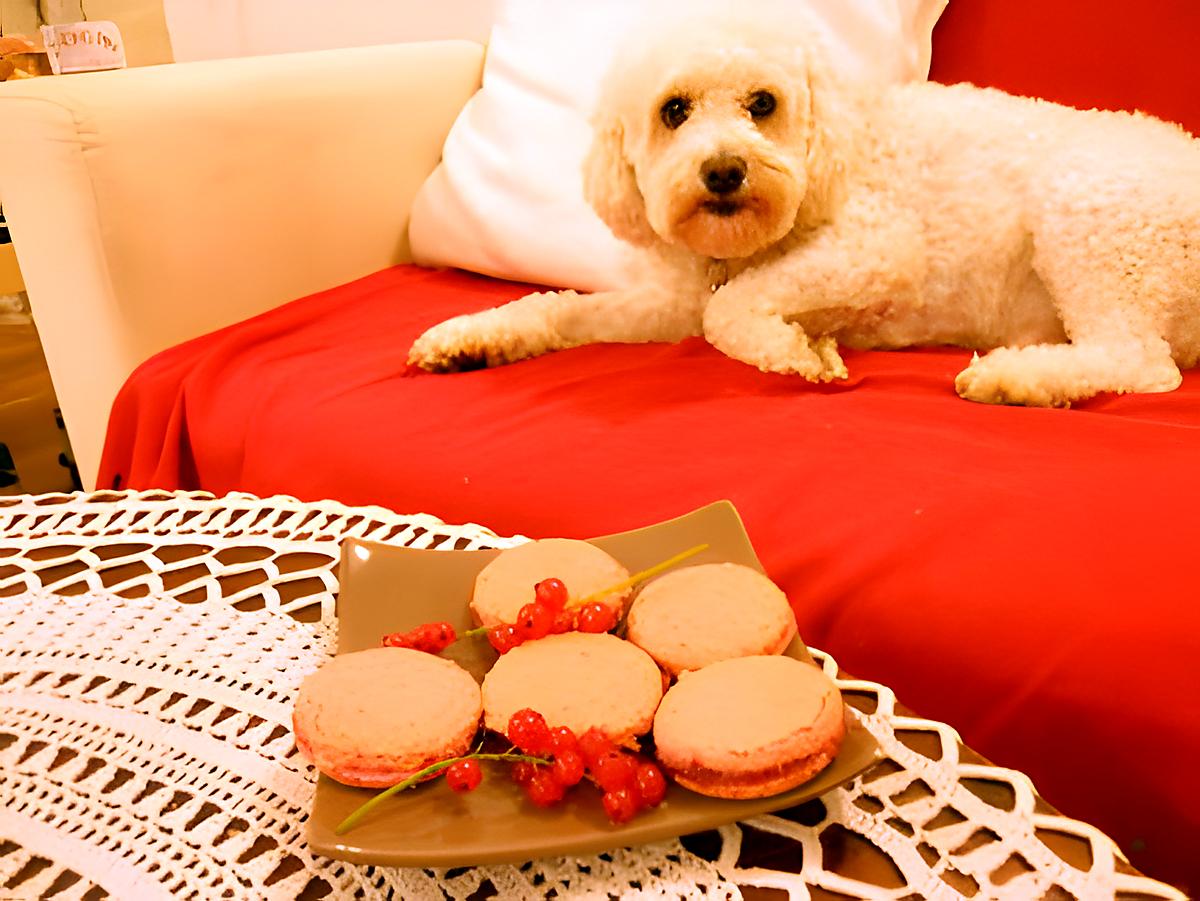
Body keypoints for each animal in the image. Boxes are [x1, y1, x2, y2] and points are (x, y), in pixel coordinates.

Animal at [410, 9, 1200, 405]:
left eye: (763, 104)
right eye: (674, 111)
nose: (724, 171)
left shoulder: (876, 251)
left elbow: (727, 316)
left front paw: (796, 354)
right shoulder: (667, 304)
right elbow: (560, 309)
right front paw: (471, 336)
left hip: (1088, 216)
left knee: (1140, 364)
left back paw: (1013, 378)